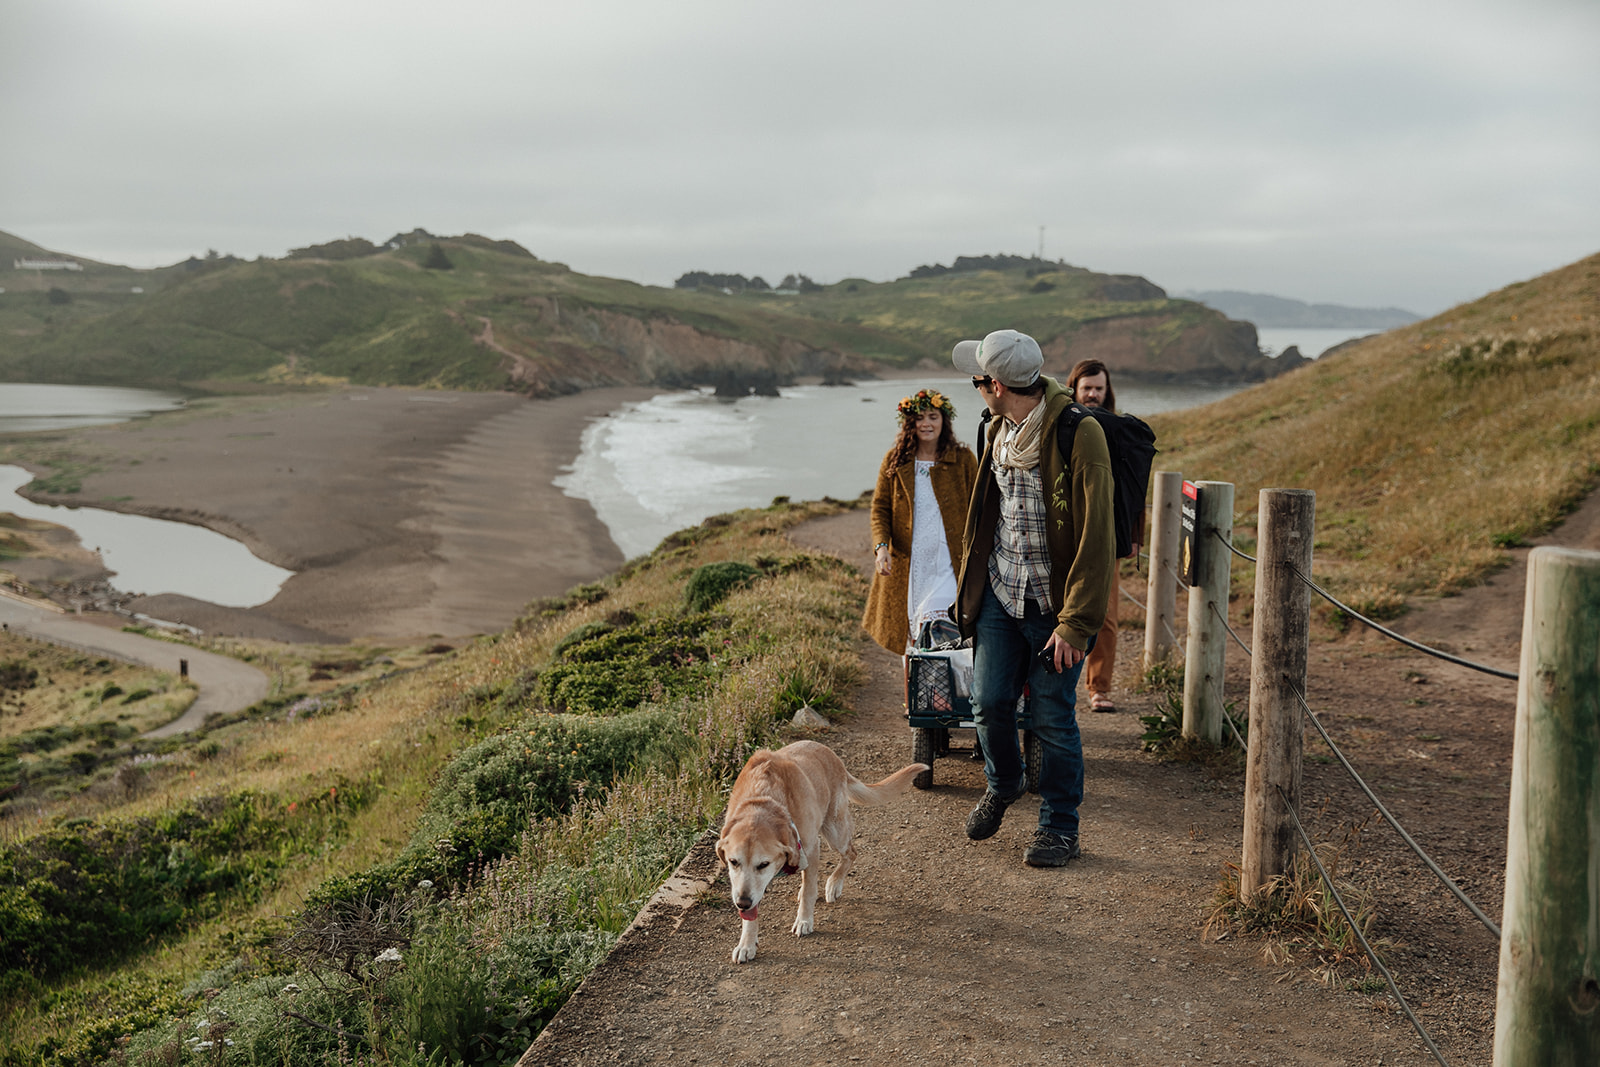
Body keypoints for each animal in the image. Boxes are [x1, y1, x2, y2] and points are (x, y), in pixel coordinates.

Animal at [716, 742, 928, 966]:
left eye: (763, 864)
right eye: (733, 862)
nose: (742, 903)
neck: (764, 799)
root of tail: (831, 754)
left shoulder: (810, 849)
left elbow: (810, 891)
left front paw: (804, 920)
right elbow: (752, 915)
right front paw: (747, 944)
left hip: (835, 833)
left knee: (851, 853)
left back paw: (834, 884)